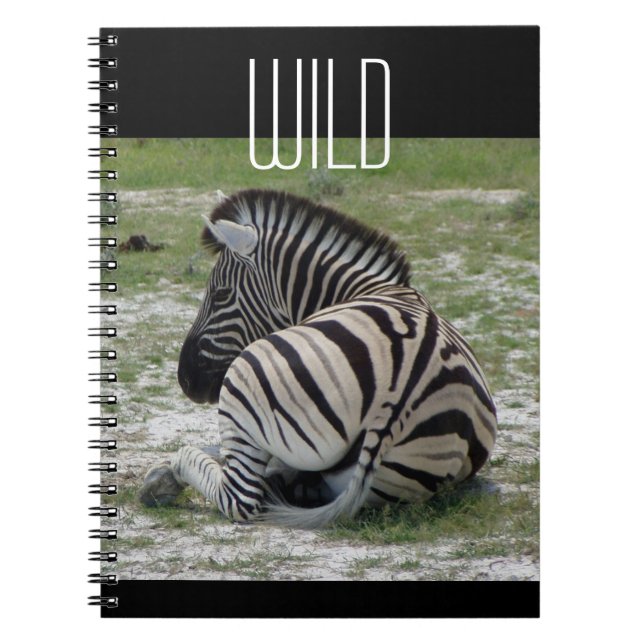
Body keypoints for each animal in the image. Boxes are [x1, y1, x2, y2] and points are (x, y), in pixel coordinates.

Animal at [139, 189, 497, 528]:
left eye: (221, 294)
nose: (186, 379)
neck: (367, 289)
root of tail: (397, 397)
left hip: (242, 378)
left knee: (239, 495)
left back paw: (168, 475)